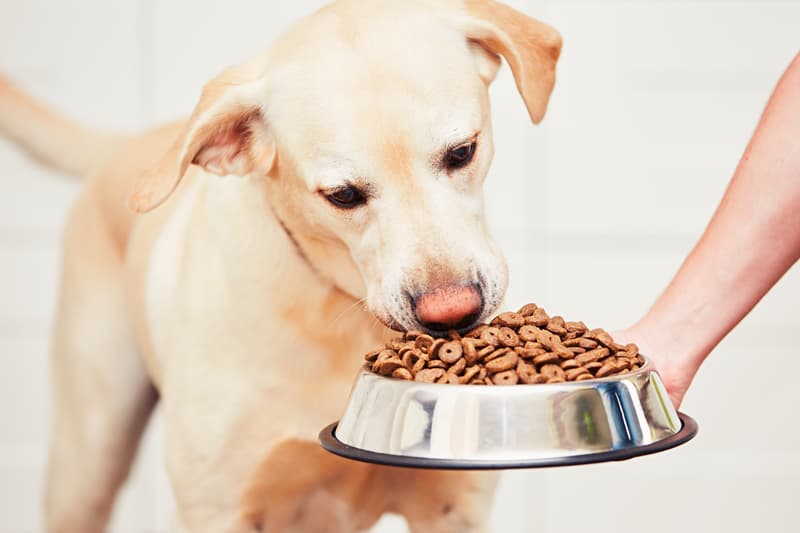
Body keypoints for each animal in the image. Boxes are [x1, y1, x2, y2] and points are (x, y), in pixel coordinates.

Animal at [1, 1, 564, 532]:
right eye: (342, 195)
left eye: (462, 151)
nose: (452, 314)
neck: (337, 307)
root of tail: (130, 141)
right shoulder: (215, 510)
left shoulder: (452, 507)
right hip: (87, 462)